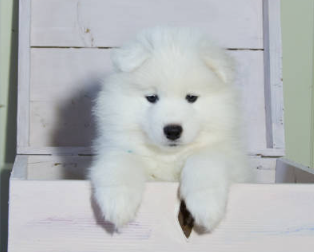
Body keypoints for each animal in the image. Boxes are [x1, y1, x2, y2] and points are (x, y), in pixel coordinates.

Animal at [89, 26, 251, 231]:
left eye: (191, 97)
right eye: (152, 97)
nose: (173, 131)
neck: (169, 157)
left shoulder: (231, 160)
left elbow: (204, 159)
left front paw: (207, 206)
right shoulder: (116, 148)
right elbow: (119, 163)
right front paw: (118, 203)